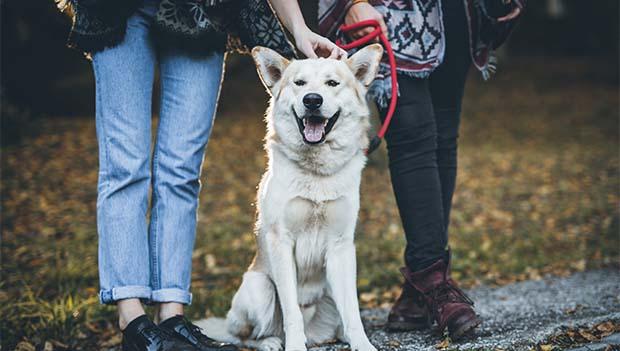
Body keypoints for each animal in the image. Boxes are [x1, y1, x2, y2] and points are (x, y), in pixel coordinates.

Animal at [197, 44, 382, 351]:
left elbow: (353, 311)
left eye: (332, 83)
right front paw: (295, 345)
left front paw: (362, 343)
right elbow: (291, 312)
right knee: (245, 336)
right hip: (259, 288)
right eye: (300, 83)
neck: (316, 174)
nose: (312, 100)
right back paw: (271, 342)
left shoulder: (341, 247)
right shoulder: (281, 241)